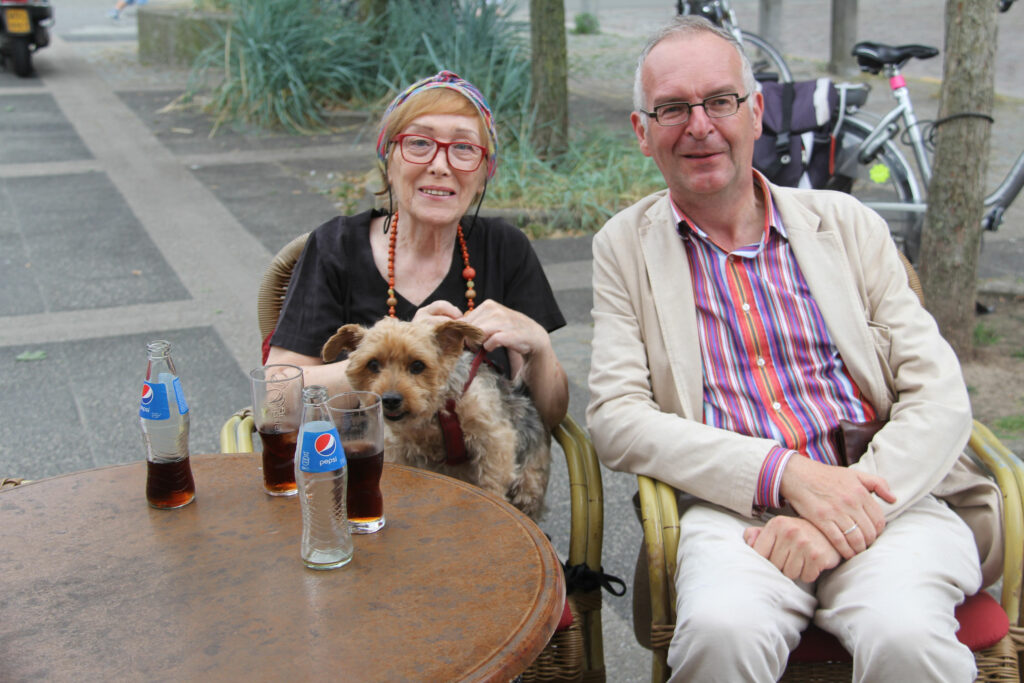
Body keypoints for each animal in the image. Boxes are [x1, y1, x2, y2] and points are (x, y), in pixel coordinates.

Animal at [321, 317, 552, 520]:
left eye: (417, 365)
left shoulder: (494, 439)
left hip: (530, 481)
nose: (390, 399)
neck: (437, 410)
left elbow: (492, 481)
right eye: (373, 364)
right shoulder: (400, 448)